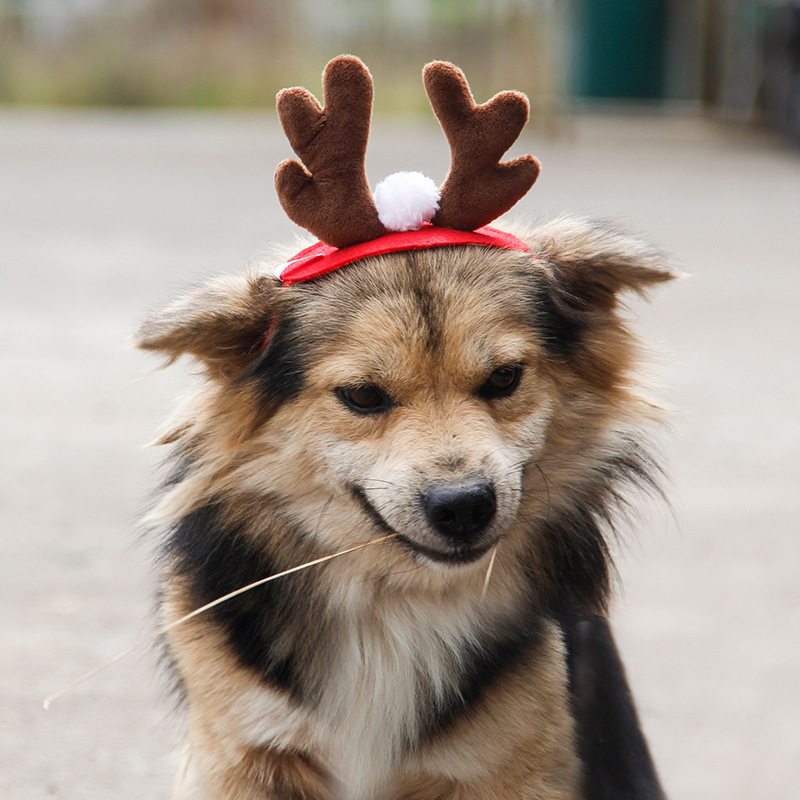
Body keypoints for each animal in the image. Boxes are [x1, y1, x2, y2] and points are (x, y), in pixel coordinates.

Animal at [134, 56, 672, 800]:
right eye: (363, 395)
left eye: (504, 379)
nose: (464, 507)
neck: (394, 605)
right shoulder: (240, 749)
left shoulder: (512, 762)